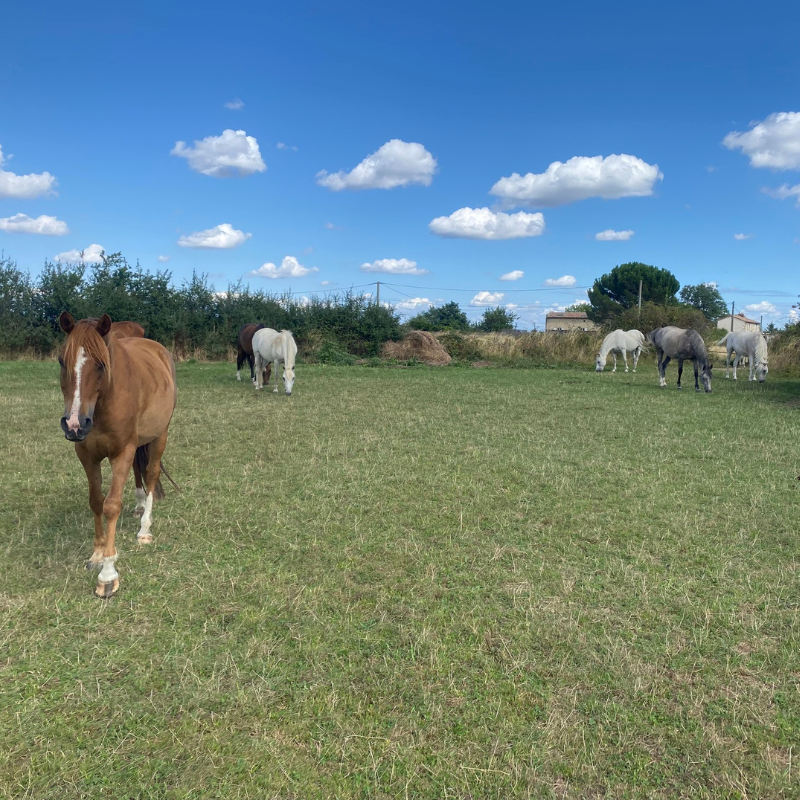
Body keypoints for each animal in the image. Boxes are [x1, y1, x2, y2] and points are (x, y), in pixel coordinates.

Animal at [57, 312, 177, 598]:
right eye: (60, 360)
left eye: (102, 364)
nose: (74, 424)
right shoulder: (86, 454)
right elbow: (95, 501)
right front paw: (97, 554)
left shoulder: (122, 452)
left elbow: (111, 505)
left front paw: (108, 574)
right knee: (138, 470)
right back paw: (139, 505)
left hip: (160, 435)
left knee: (151, 473)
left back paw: (144, 528)